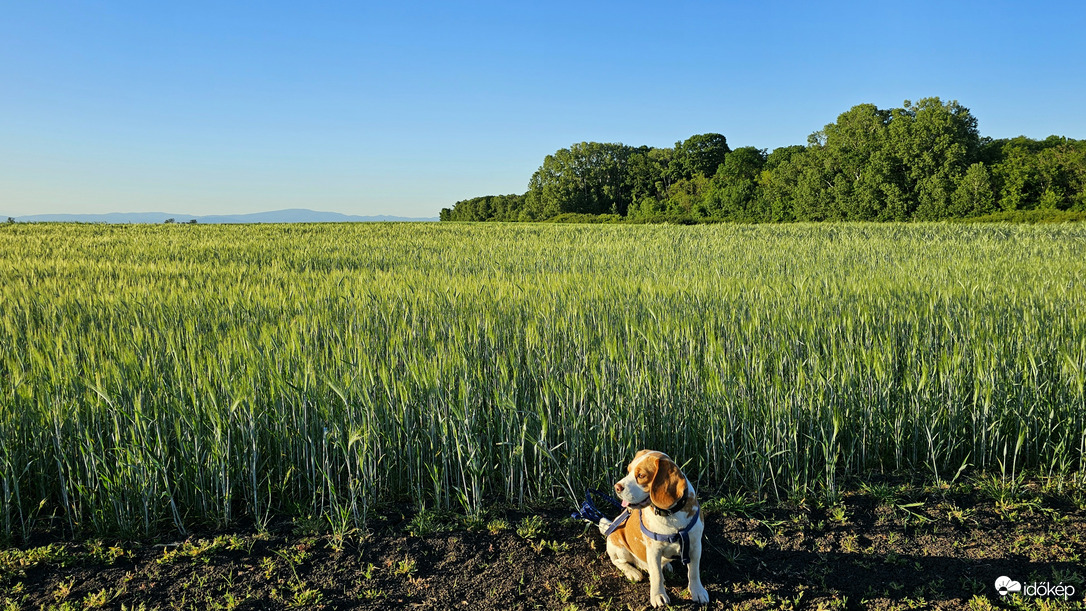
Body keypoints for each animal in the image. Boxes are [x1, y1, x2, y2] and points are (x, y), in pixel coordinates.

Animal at [599, 449, 708, 607]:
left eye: (641, 475)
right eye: (628, 470)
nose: (616, 487)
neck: (670, 514)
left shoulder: (695, 546)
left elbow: (694, 572)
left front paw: (697, 591)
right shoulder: (653, 550)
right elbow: (656, 575)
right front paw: (658, 595)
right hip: (619, 549)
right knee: (619, 562)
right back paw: (633, 572)